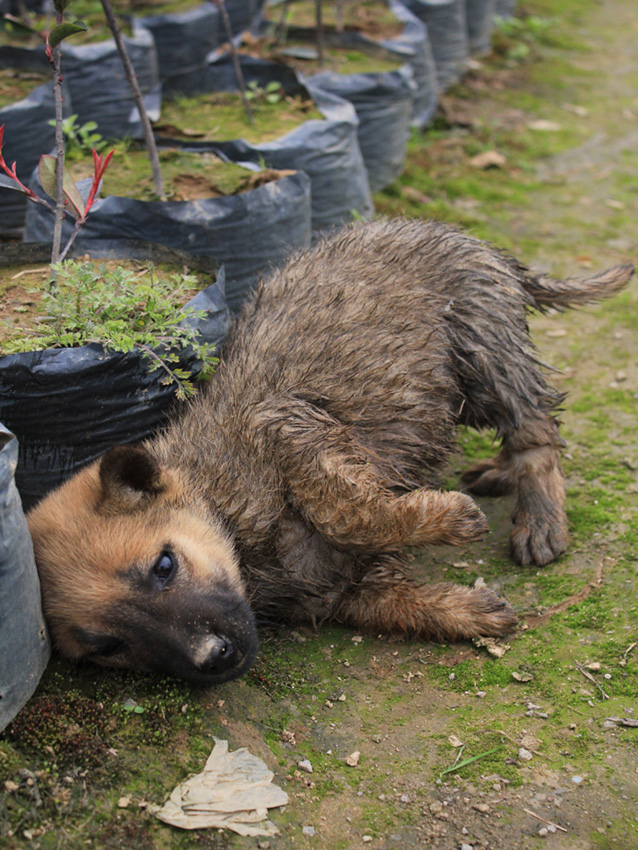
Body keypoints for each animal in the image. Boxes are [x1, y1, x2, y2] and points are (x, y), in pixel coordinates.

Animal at [26, 217, 636, 684]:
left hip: (483, 352)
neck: (221, 502)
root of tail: (467, 239)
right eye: (108, 647)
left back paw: (539, 518)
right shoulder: (341, 590)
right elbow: (393, 600)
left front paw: (443, 518)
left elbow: (347, 509)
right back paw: (498, 476)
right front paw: (463, 610)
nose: (215, 660)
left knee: (536, 431)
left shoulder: (287, 423)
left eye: (164, 566)